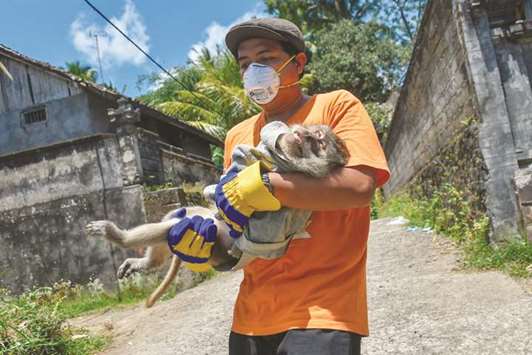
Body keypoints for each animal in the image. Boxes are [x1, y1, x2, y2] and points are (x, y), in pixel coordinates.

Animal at [84, 121, 350, 308]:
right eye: (313, 135)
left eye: (318, 144)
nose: (304, 136)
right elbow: (245, 158)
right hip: (197, 215)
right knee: (176, 218)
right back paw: (146, 261)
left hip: (216, 243)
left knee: (179, 227)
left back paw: (118, 237)